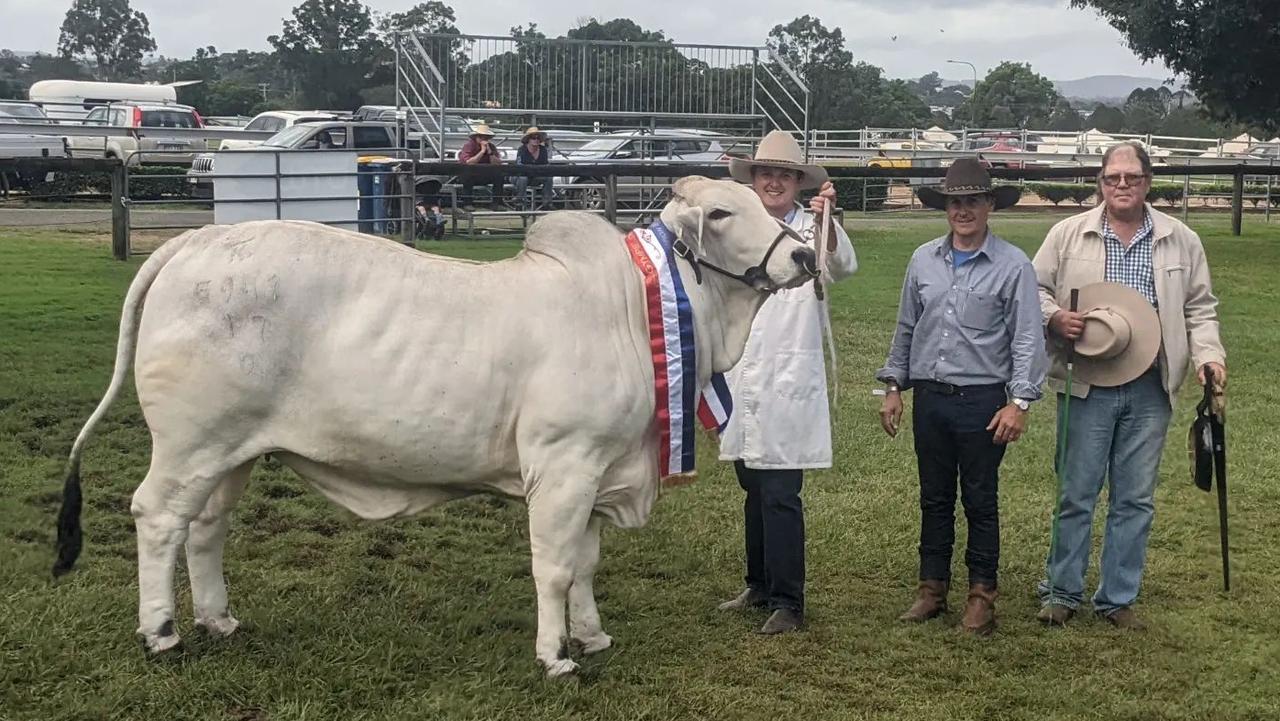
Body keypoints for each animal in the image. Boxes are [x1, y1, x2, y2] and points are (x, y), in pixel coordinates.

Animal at [55, 172, 814, 676]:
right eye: (722, 211)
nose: (804, 255)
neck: (631, 310)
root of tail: (193, 243)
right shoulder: (563, 465)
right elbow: (554, 566)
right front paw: (555, 654)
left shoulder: (602, 469)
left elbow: (585, 564)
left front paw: (592, 636)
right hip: (189, 443)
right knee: (158, 518)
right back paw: (161, 632)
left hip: (231, 452)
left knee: (205, 528)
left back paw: (218, 619)